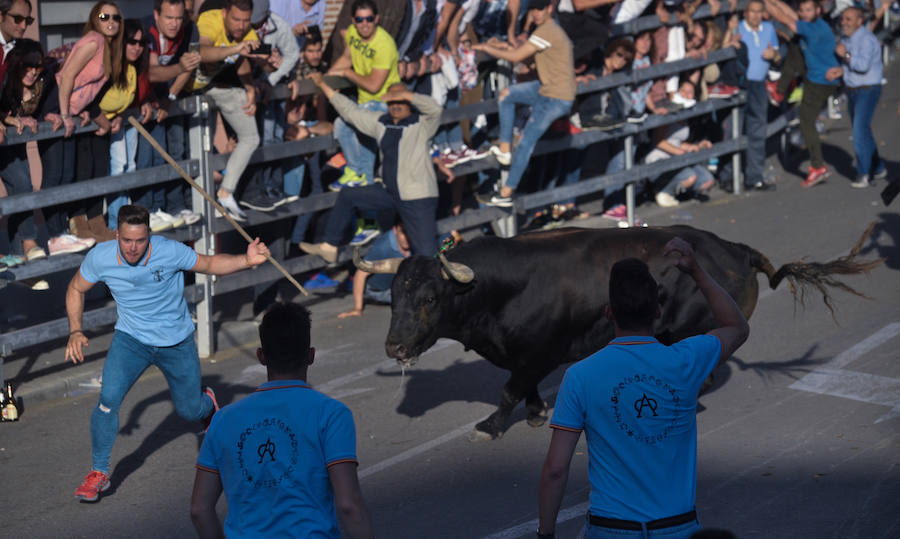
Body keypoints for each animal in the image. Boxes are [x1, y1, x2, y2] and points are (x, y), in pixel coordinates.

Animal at [354, 224, 880, 438]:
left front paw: (490, 427)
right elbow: (523, 389)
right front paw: (535, 414)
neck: (496, 288)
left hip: (689, 330)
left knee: (703, 371)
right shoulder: (527, 356)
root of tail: (733, 248)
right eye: (394, 297)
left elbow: (508, 390)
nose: (394, 347)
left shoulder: (538, 353)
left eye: (429, 299)